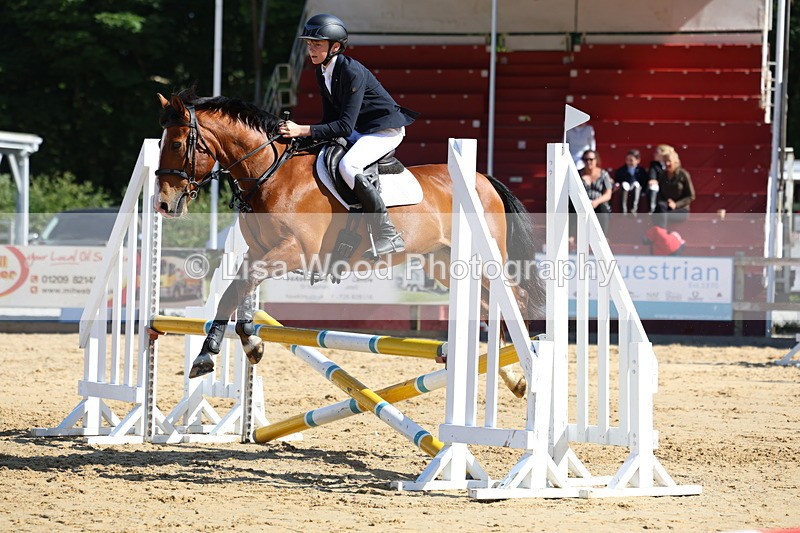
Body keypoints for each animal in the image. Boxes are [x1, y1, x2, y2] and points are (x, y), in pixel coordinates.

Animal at [154, 89, 544, 398]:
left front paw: (241, 344)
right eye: (159, 144)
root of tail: (484, 179)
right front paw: (227, 348)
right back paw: (511, 376)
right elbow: (233, 292)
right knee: (487, 306)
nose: (164, 205)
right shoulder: (259, 252)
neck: (271, 173)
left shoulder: (295, 252)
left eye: (176, 144)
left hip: (484, 259)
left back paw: (526, 366)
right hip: (444, 262)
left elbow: (241, 285)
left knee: (515, 298)